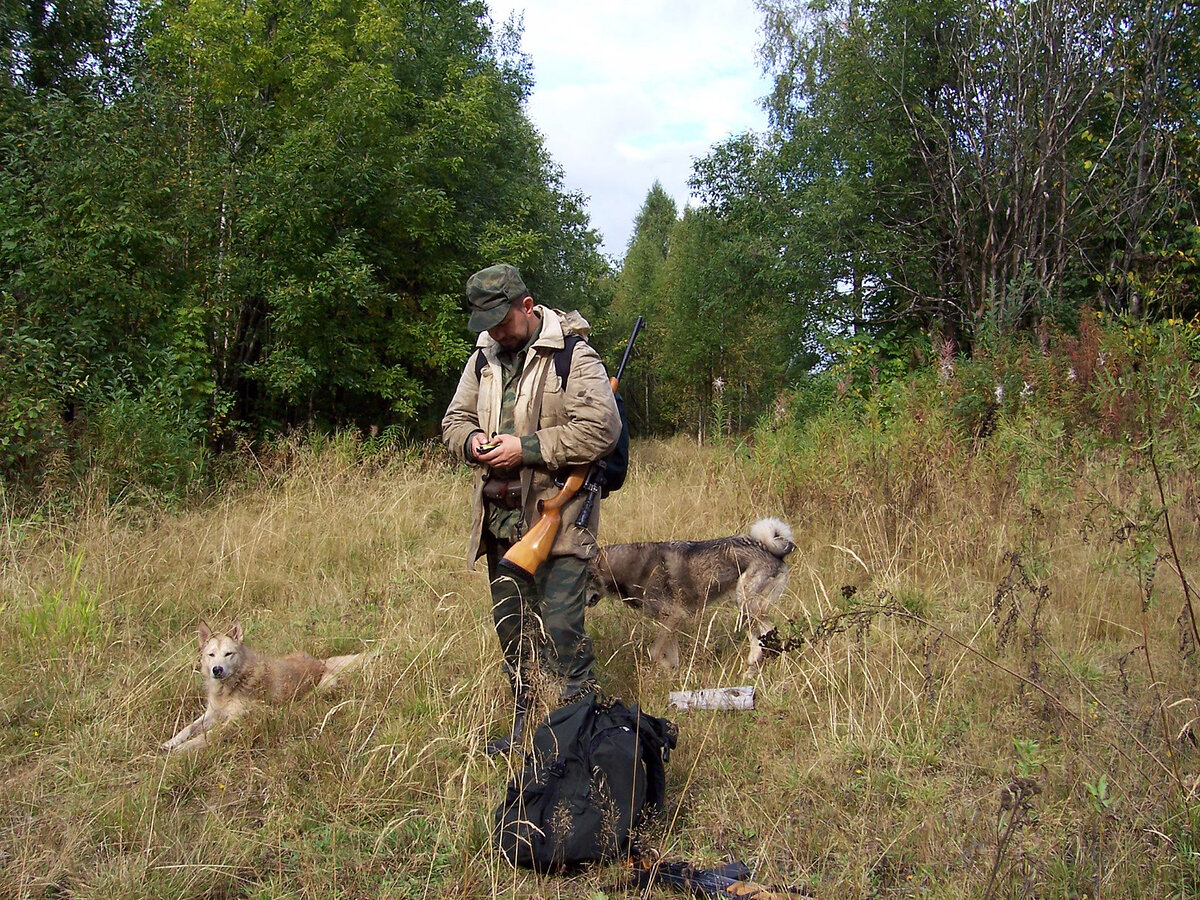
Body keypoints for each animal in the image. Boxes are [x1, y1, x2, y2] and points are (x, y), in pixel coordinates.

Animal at [163, 619, 360, 753]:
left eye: (228, 654)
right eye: (211, 654)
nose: (217, 670)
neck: (228, 689)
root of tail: (320, 662)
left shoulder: (237, 719)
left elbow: (208, 735)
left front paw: (182, 749)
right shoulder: (212, 712)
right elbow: (188, 728)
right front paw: (171, 742)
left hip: (323, 687)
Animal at [583, 518, 796, 672]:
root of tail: (770, 549)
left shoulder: (674, 616)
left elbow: (654, 652)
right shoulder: (670, 622)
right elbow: (671, 657)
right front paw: (673, 677)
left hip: (747, 605)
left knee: (769, 636)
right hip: (745, 610)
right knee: (761, 641)